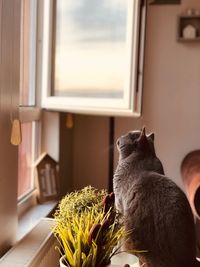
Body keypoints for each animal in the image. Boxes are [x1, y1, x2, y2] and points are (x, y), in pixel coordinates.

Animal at [113, 128, 199, 267]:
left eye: (130, 135)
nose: (120, 137)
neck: (142, 157)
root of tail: (189, 260)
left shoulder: (119, 206)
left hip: (131, 237)